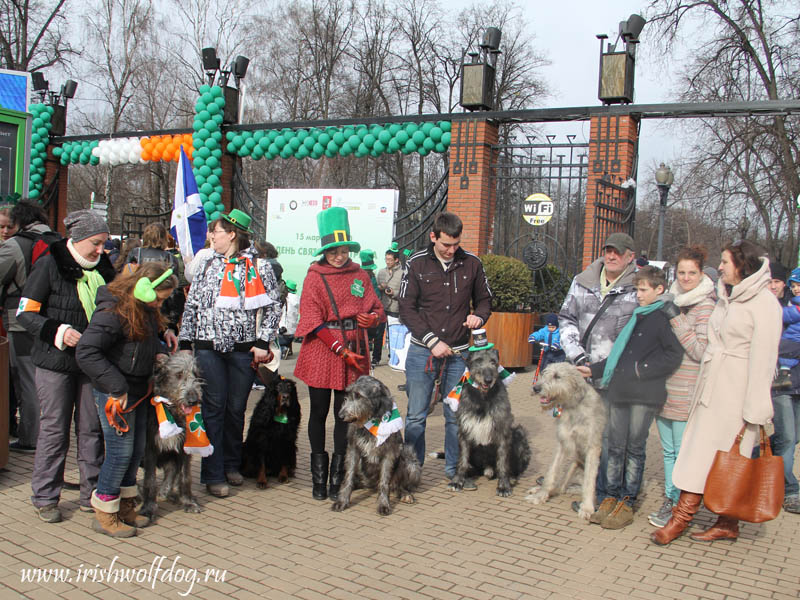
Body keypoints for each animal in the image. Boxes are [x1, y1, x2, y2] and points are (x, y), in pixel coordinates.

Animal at [140, 354, 205, 524]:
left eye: (196, 374)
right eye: (179, 374)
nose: (193, 400)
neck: (172, 412)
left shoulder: (184, 447)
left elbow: (185, 476)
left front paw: (188, 501)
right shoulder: (150, 448)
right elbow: (149, 480)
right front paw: (148, 508)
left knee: (172, 470)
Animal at [332, 376, 422, 516]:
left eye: (359, 396)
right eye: (348, 394)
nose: (341, 415)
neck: (370, 420)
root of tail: (371, 485)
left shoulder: (389, 452)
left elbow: (384, 482)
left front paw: (384, 504)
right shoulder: (353, 448)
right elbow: (348, 477)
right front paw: (342, 501)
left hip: (409, 456)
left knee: (397, 485)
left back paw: (405, 494)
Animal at [450, 346, 532, 496]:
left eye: (493, 362)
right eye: (478, 361)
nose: (488, 380)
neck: (483, 398)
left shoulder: (503, 430)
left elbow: (503, 462)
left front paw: (504, 485)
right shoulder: (464, 430)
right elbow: (462, 459)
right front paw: (457, 480)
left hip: (519, 434)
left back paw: (511, 477)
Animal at [528, 360, 604, 520]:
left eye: (557, 376)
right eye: (544, 373)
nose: (536, 388)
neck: (574, 406)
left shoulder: (593, 447)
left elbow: (590, 481)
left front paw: (587, 508)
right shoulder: (562, 442)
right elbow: (552, 472)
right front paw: (540, 496)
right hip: (573, 464)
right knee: (560, 487)